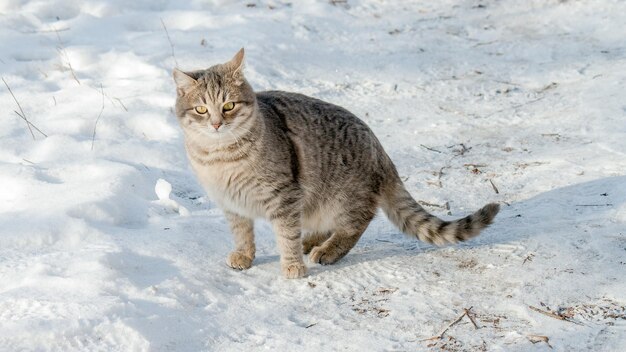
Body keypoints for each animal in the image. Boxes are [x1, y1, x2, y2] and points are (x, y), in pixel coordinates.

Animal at [172, 48, 498, 278]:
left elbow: (286, 235)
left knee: (355, 223)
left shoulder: (284, 197)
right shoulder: (232, 204)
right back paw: (311, 242)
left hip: (343, 197)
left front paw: (292, 266)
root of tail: (380, 149)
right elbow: (242, 234)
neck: (221, 157)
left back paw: (326, 250)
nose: (216, 123)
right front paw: (244, 255)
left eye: (228, 105)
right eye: (201, 109)